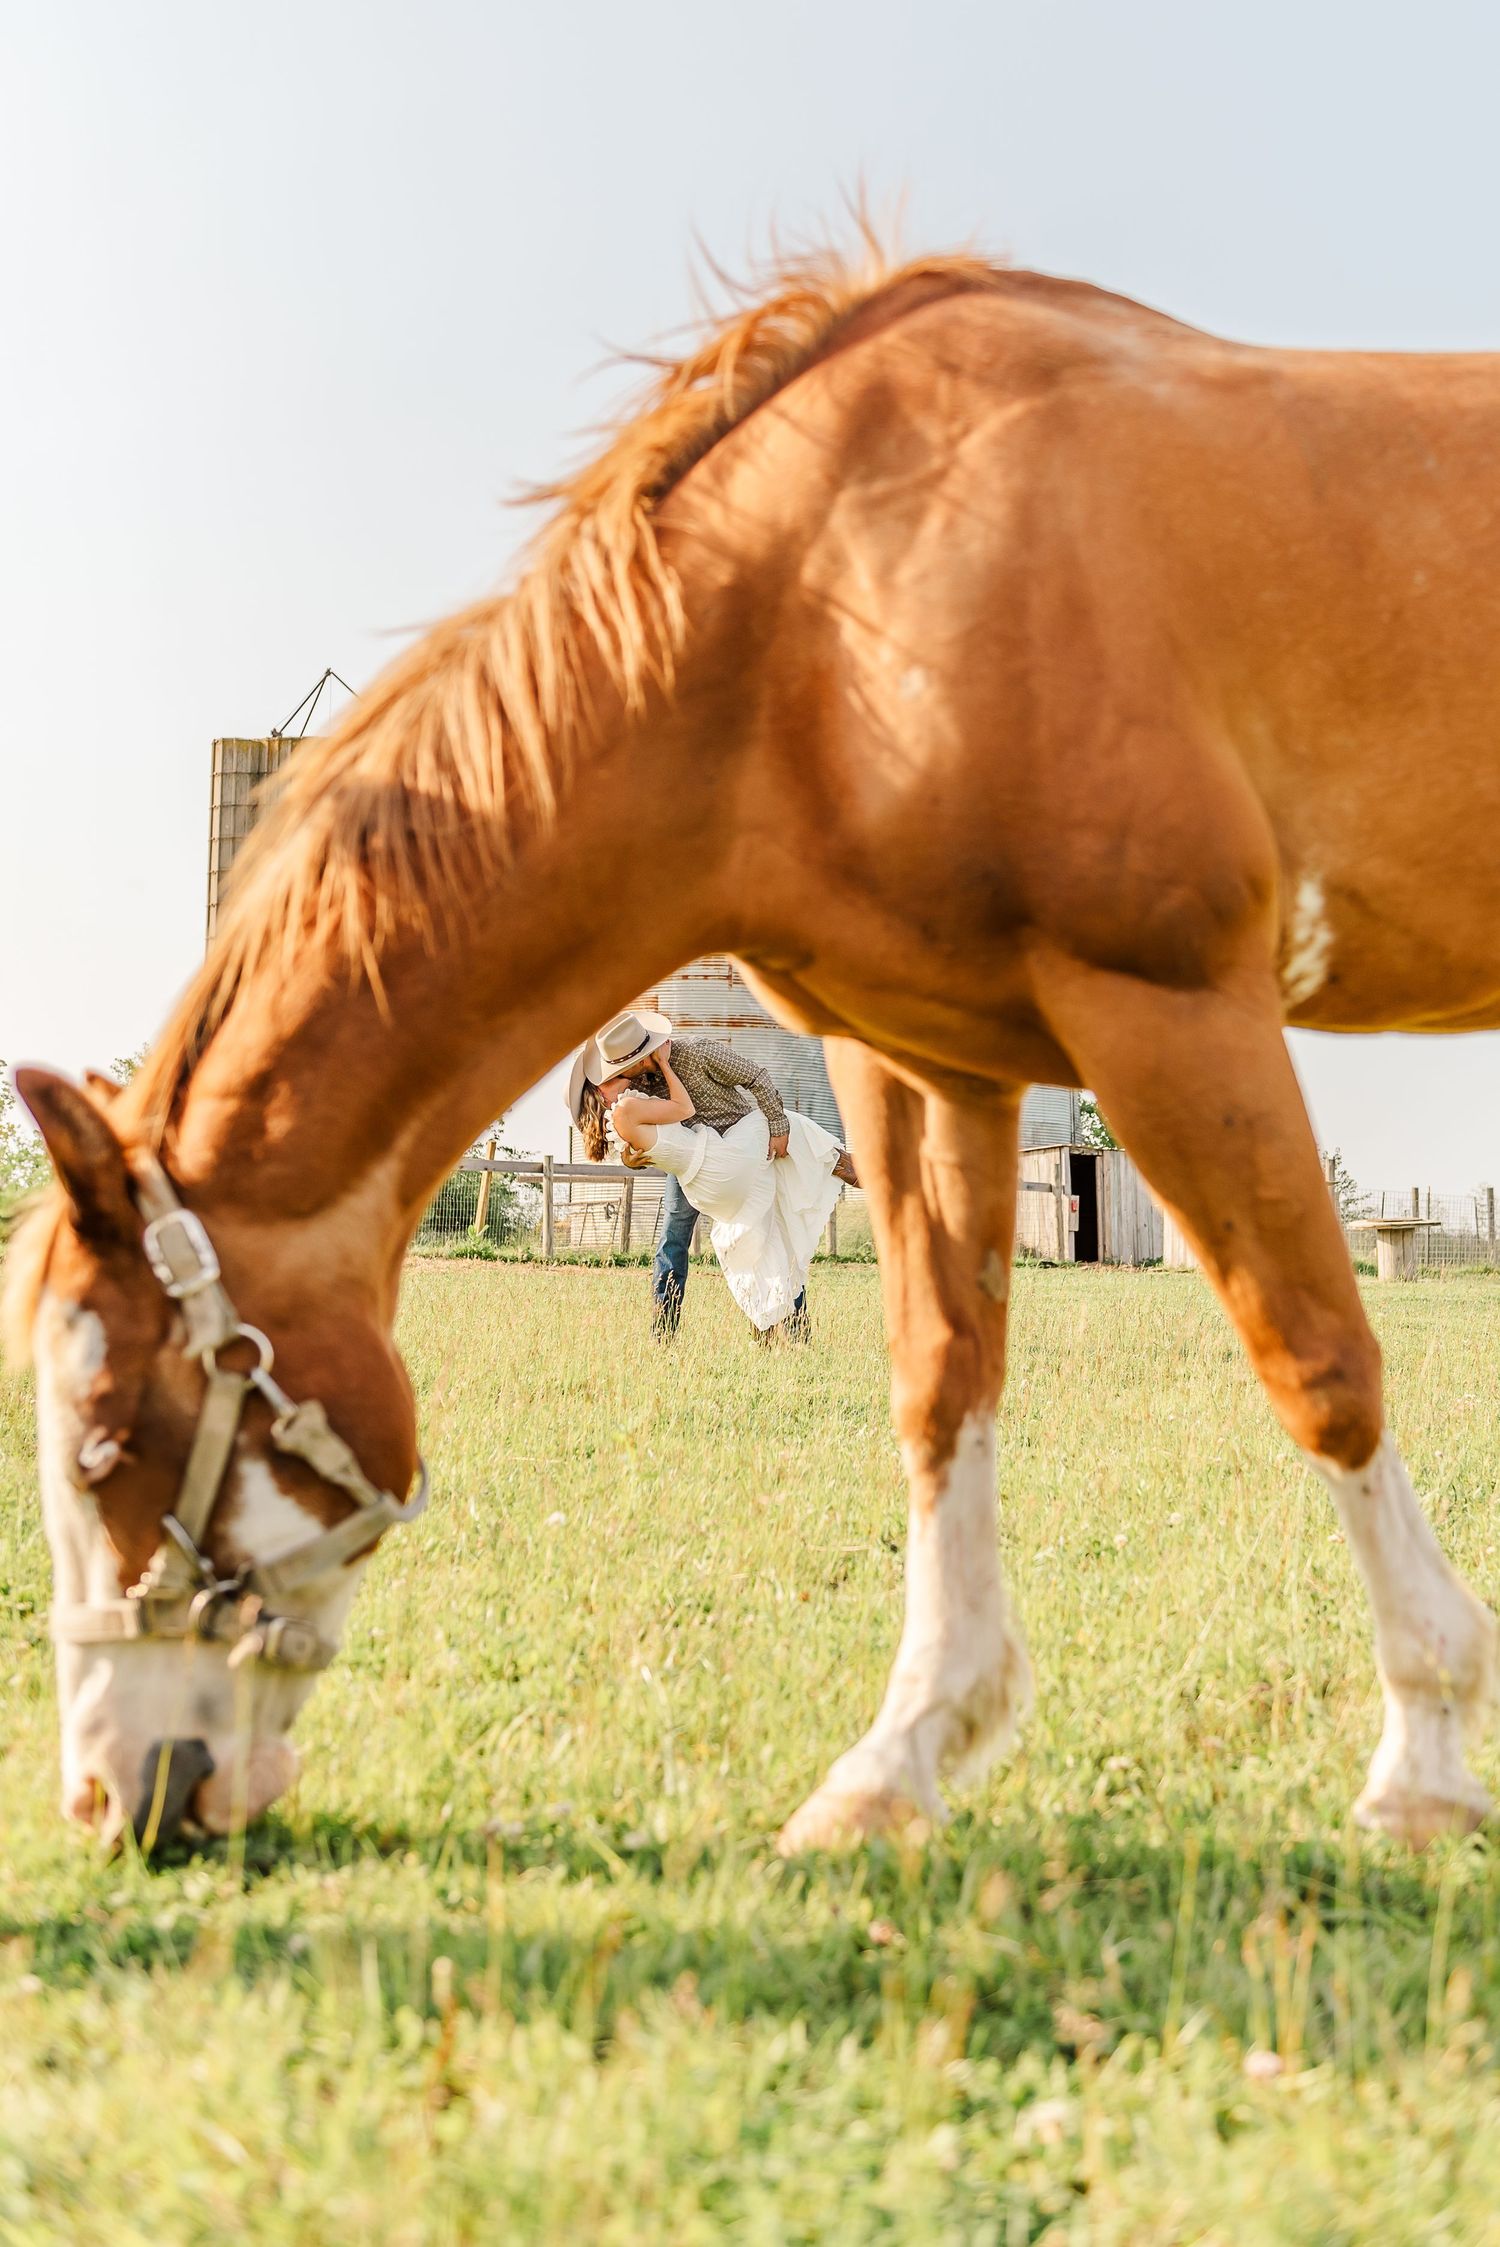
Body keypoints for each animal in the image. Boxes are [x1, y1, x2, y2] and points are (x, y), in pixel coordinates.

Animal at [7, 240, 1497, 1853]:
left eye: (105, 1439)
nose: (112, 1794)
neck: (839, 593)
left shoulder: (1169, 1006)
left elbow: (1320, 1357)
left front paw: (1424, 1762)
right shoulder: (929, 1061)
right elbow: (941, 1376)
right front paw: (904, 1756)